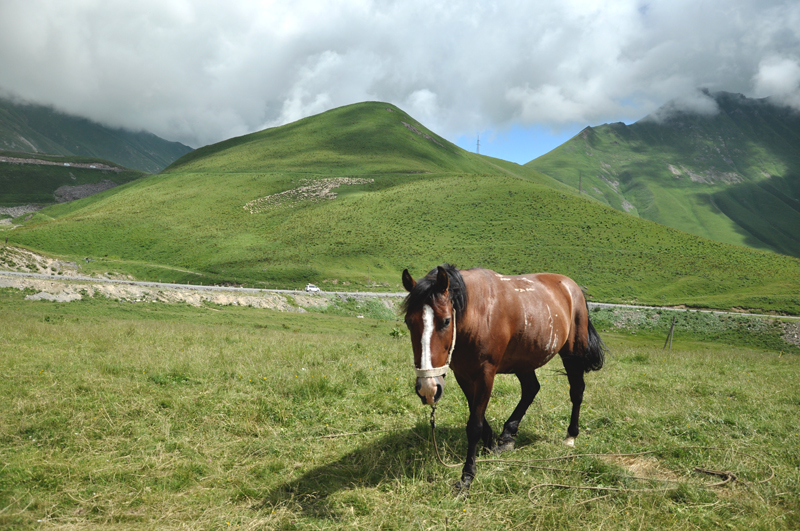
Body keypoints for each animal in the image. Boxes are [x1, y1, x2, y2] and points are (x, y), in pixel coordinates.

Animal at [404, 264, 604, 492]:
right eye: (408, 322)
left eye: (446, 321)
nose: (428, 389)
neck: (477, 313)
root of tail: (572, 287)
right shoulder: (463, 374)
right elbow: (477, 414)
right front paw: (490, 443)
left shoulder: (485, 374)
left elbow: (474, 425)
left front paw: (467, 476)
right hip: (524, 358)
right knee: (531, 389)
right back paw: (508, 434)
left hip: (572, 354)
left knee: (576, 391)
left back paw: (571, 435)